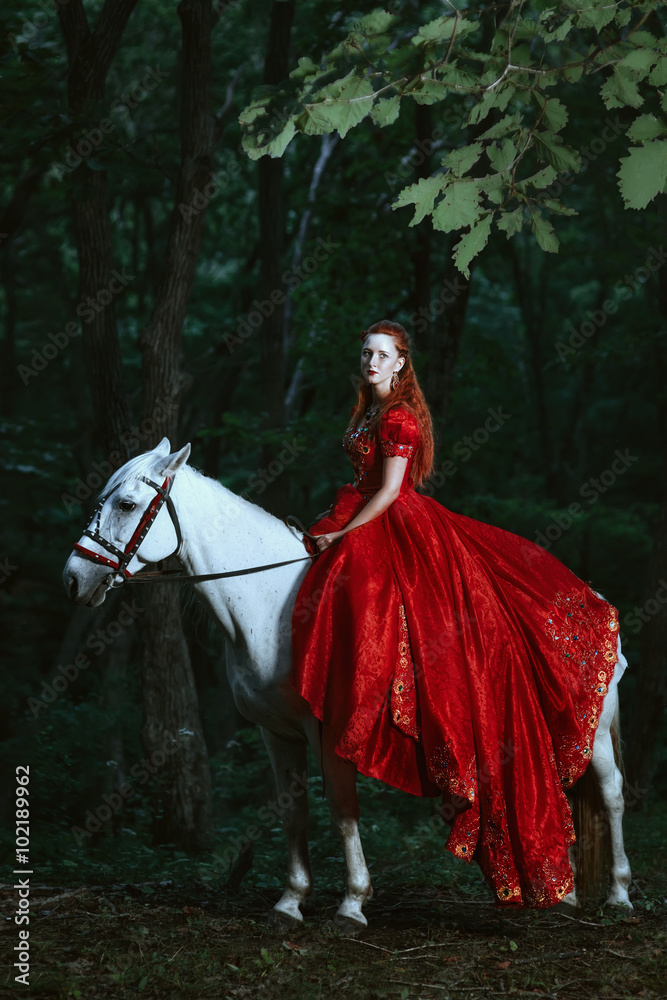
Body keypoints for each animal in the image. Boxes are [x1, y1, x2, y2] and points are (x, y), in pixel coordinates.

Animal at [61, 438, 632, 928]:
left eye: (128, 505)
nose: (73, 579)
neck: (271, 602)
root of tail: (591, 596)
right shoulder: (276, 733)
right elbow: (293, 814)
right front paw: (291, 901)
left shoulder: (330, 730)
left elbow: (342, 812)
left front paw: (353, 904)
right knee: (563, 791)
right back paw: (564, 894)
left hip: (596, 733)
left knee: (611, 795)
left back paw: (619, 895)